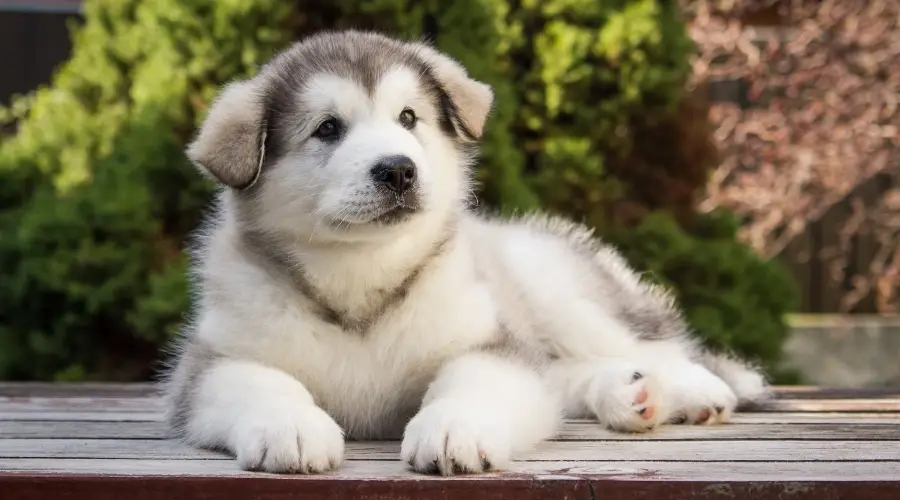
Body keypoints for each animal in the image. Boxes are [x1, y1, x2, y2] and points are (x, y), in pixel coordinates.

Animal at [160, 30, 768, 476]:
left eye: (408, 118)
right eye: (327, 129)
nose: (398, 169)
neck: (361, 274)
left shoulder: (490, 344)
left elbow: (475, 381)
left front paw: (454, 428)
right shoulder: (212, 363)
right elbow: (261, 381)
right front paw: (290, 425)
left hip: (553, 289)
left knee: (644, 346)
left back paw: (692, 389)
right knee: (567, 377)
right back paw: (629, 394)